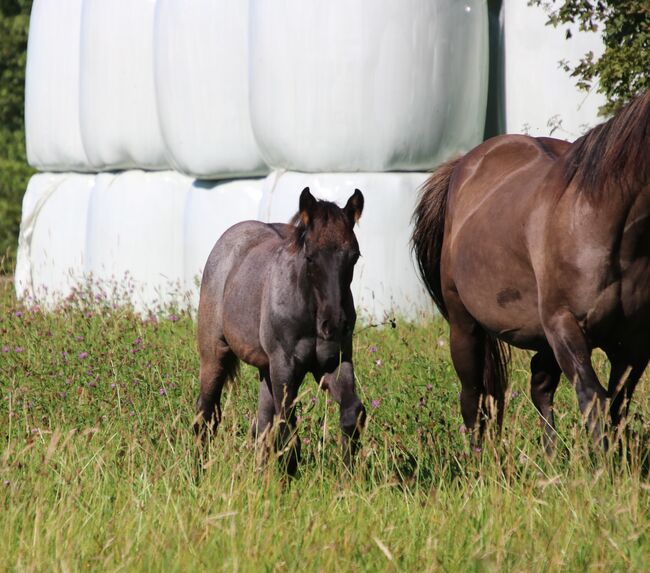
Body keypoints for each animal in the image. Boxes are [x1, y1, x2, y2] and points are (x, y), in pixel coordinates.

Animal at [192, 188, 364, 474]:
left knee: (261, 425)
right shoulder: (285, 366)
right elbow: (287, 433)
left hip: (265, 369)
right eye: (310, 256)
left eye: (354, 256)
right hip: (215, 355)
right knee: (205, 417)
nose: (335, 325)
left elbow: (352, 413)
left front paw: (349, 476)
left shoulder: (334, 363)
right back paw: (197, 473)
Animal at [412, 92, 648, 452]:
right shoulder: (565, 326)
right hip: (465, 325)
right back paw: (477, 458)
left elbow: (617, 407)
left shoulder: (633, 343)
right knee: (473, 395)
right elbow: (593, 400)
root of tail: (462, 166)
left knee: (539, 386)